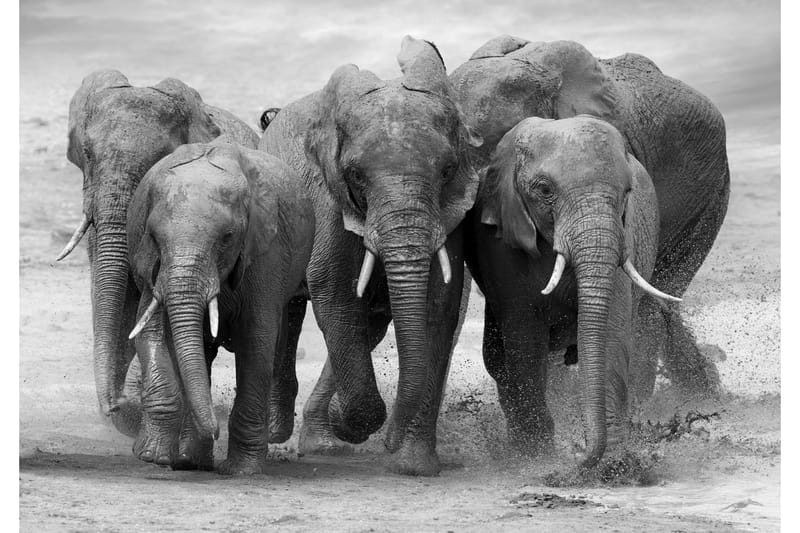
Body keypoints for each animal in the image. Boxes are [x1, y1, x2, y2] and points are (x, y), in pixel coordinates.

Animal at [57, 69, 259, 437]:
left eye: (160, 159)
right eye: (87, 154)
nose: (112, 405)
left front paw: (129, 409)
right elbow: (115, 297)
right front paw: (123, 410)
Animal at [126, 136, 314, 473]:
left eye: (227, 238)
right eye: (154, 237)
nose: (214, 431)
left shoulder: (266, 251)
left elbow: (257, 339)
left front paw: (242, 471)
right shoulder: (150, 263)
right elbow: (151, 331)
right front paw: (153, 456)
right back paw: (189, 459)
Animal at [259, 35, 482, 476]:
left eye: (447, 171)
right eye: (356, 176)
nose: (390, 444)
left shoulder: (450, 214)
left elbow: (438, 302)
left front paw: (413, 465)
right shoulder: (327, 197)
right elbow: (333, 289)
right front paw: (351, 422)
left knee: (368, 326)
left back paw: (324, 442)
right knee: (288, 311)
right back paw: (278, 432)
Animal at [465, 115, 681, 466]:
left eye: (627, 191)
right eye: (544, 190)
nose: (577, 454)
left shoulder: (623, 238)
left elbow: (610, 334)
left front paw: (615, 466)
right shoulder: (501, 245)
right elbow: (524, 342)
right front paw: (538, 458)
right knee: (497, 359)